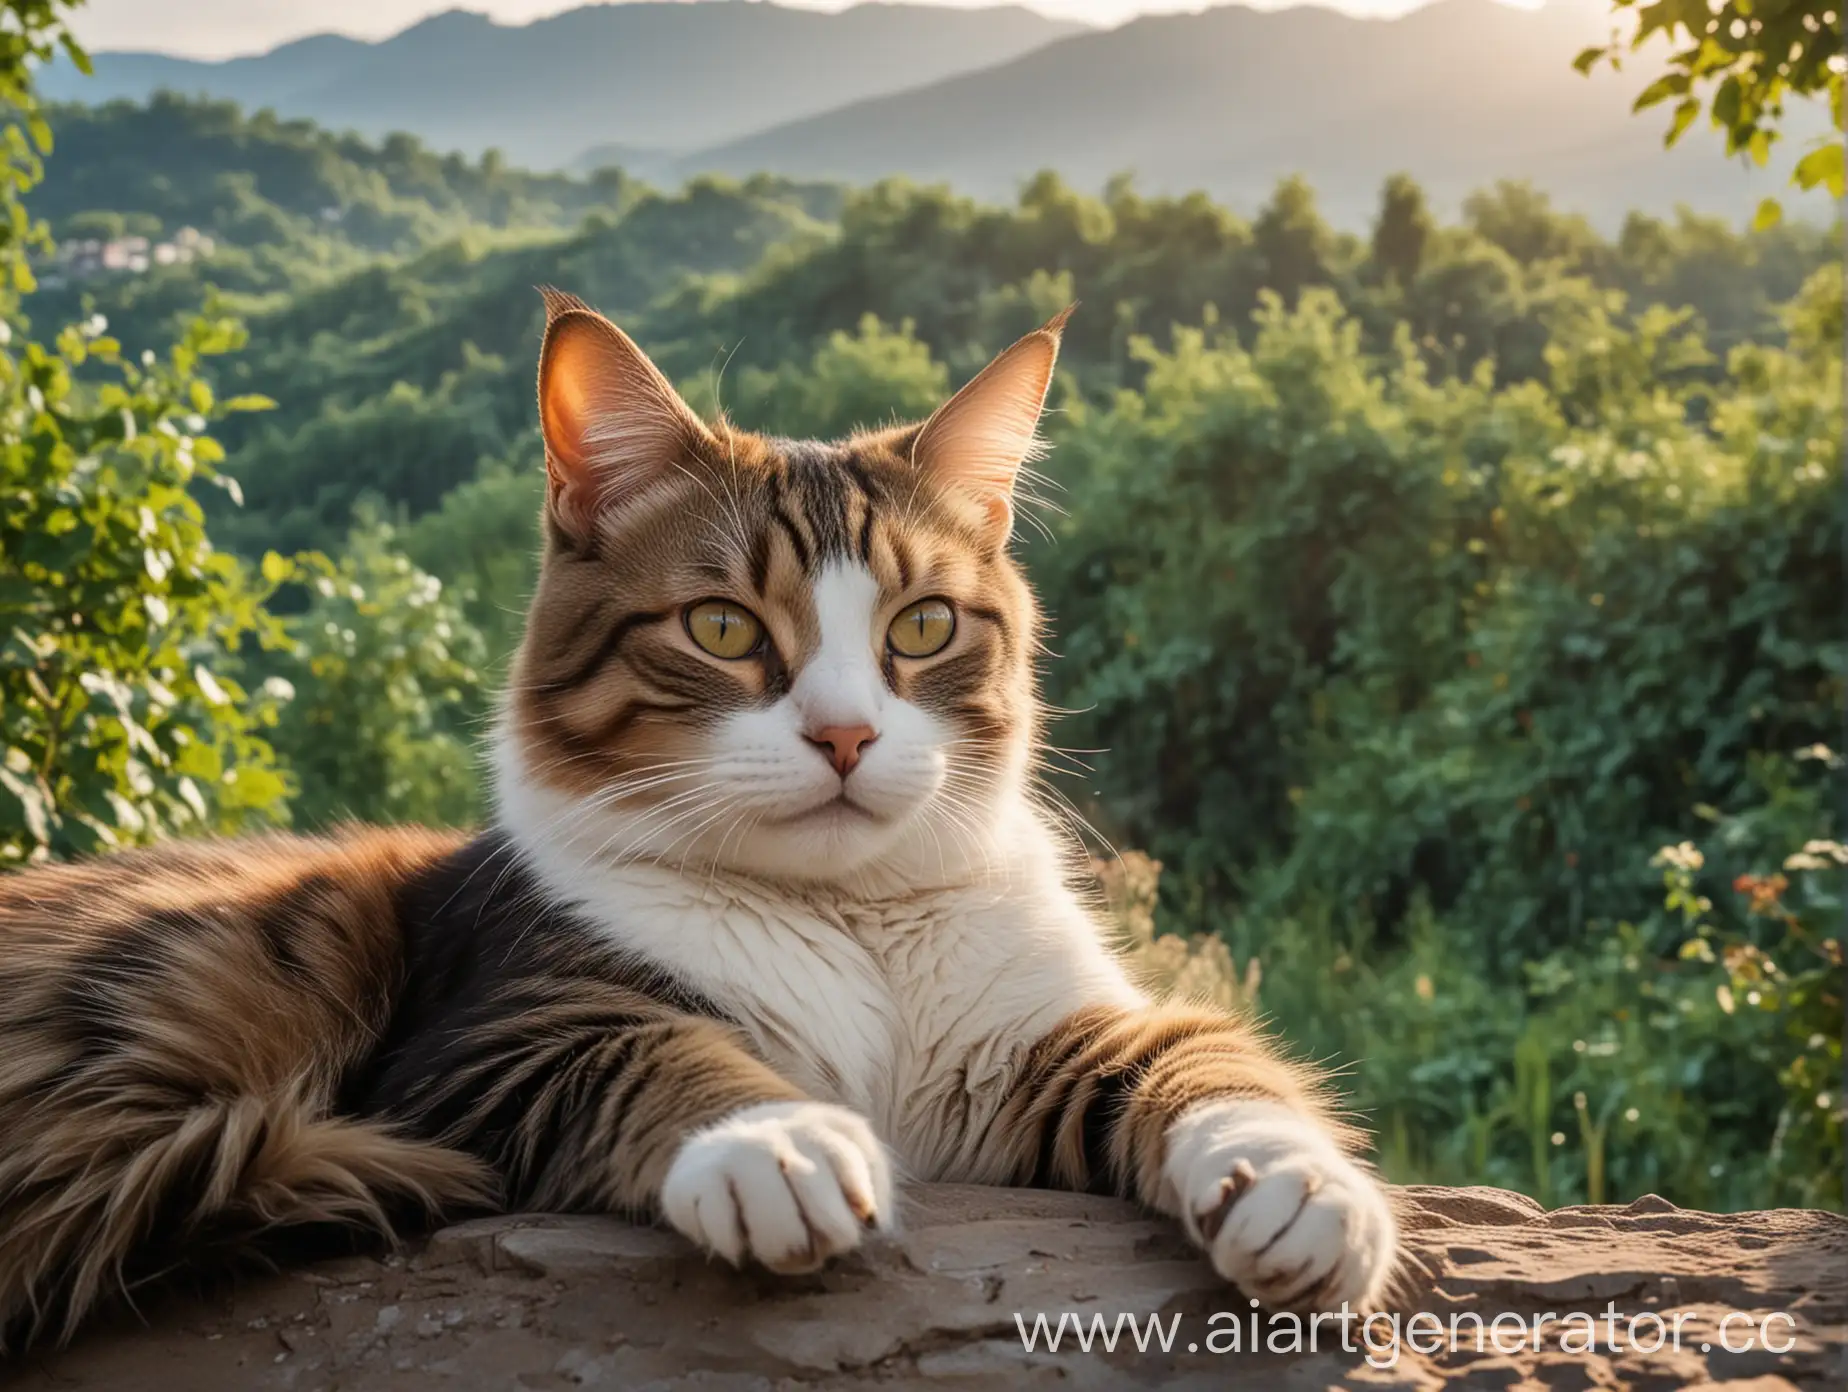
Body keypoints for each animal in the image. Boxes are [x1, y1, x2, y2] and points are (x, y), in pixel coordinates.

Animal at [0, 293, 1389, 1345]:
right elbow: (668, 1051)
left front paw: (1300, 1187)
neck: (847, 927)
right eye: (722, 627)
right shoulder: (491, 1032)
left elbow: (1205, 1059)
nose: (846, 735)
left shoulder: (1035, 1049)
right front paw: (779, 1143)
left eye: (923, 627)